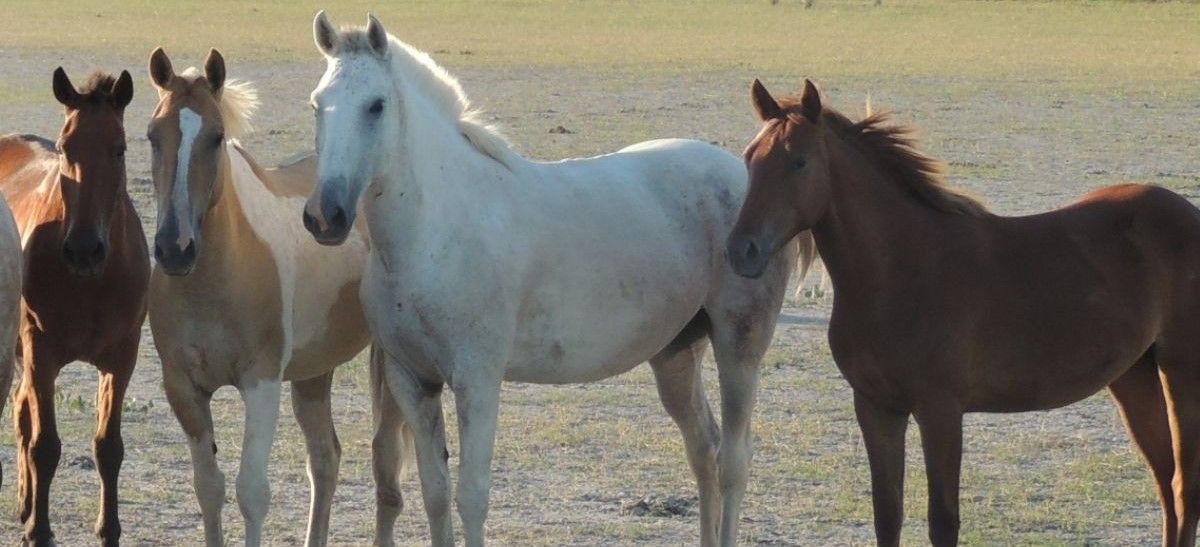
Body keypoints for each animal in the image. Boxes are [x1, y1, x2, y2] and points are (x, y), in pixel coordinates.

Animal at [0, 68, 148, 546]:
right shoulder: (41, 353)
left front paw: (109, 529)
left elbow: (109, 447)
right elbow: (44, 446)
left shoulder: (122, 358)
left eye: (119, 148)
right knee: (26, 424)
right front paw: (40, 530)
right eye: (66, 147)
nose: (84, 250)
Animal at [144, 48, 411, 547]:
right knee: (325, 460)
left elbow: (251, 491)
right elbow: (209, 487)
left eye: (217, 137)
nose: (174, 247)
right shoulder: (183, 388)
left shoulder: (261, 382)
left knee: (385, 467)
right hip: (314, 373)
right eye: (152, 135)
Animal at [302, 13, 807, 547]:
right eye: (317, 104)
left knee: (733, 461)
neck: (436, 228)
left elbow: (471, 496)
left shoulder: (477, 380)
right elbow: (435, 494)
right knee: (703, 449)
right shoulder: (412, 381)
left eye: (376, 105)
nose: (325, 216)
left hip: (739, 347)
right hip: (675, 354)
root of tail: (743, 180)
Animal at [727, 78, 1200, 546]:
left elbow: (943, 521)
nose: (741, 250)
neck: (900, 273)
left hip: (1180, 371)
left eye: (799, 162)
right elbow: (887, 515)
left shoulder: (940, 410)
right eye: (750, 159)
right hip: (1134, 375)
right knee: (1165, 482)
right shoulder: (877, 408)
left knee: (1183, 487)